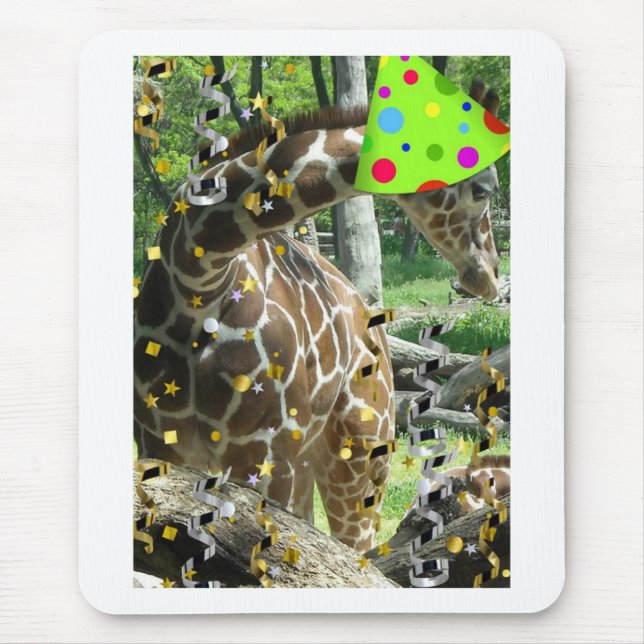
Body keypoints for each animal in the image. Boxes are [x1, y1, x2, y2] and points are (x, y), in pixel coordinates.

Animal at [134, 80, 503, 552]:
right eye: (483, 189)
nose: (490, 274)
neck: (197, 281)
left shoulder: (265, 453)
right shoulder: (159, 446)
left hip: (359, 458)